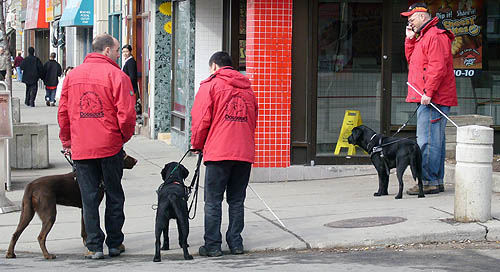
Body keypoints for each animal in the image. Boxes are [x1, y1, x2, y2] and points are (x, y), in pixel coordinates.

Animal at [4, 153, 138, 260]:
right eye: (123, 153)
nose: (136, 160)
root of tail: (31, 186)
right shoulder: (90, 205)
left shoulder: (84, 208)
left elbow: (84, 229)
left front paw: (87, 245)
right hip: (49, 214)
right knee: (41, 237)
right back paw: (47, 255)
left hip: (27, 213)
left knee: (15, 233)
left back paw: (10, 254)